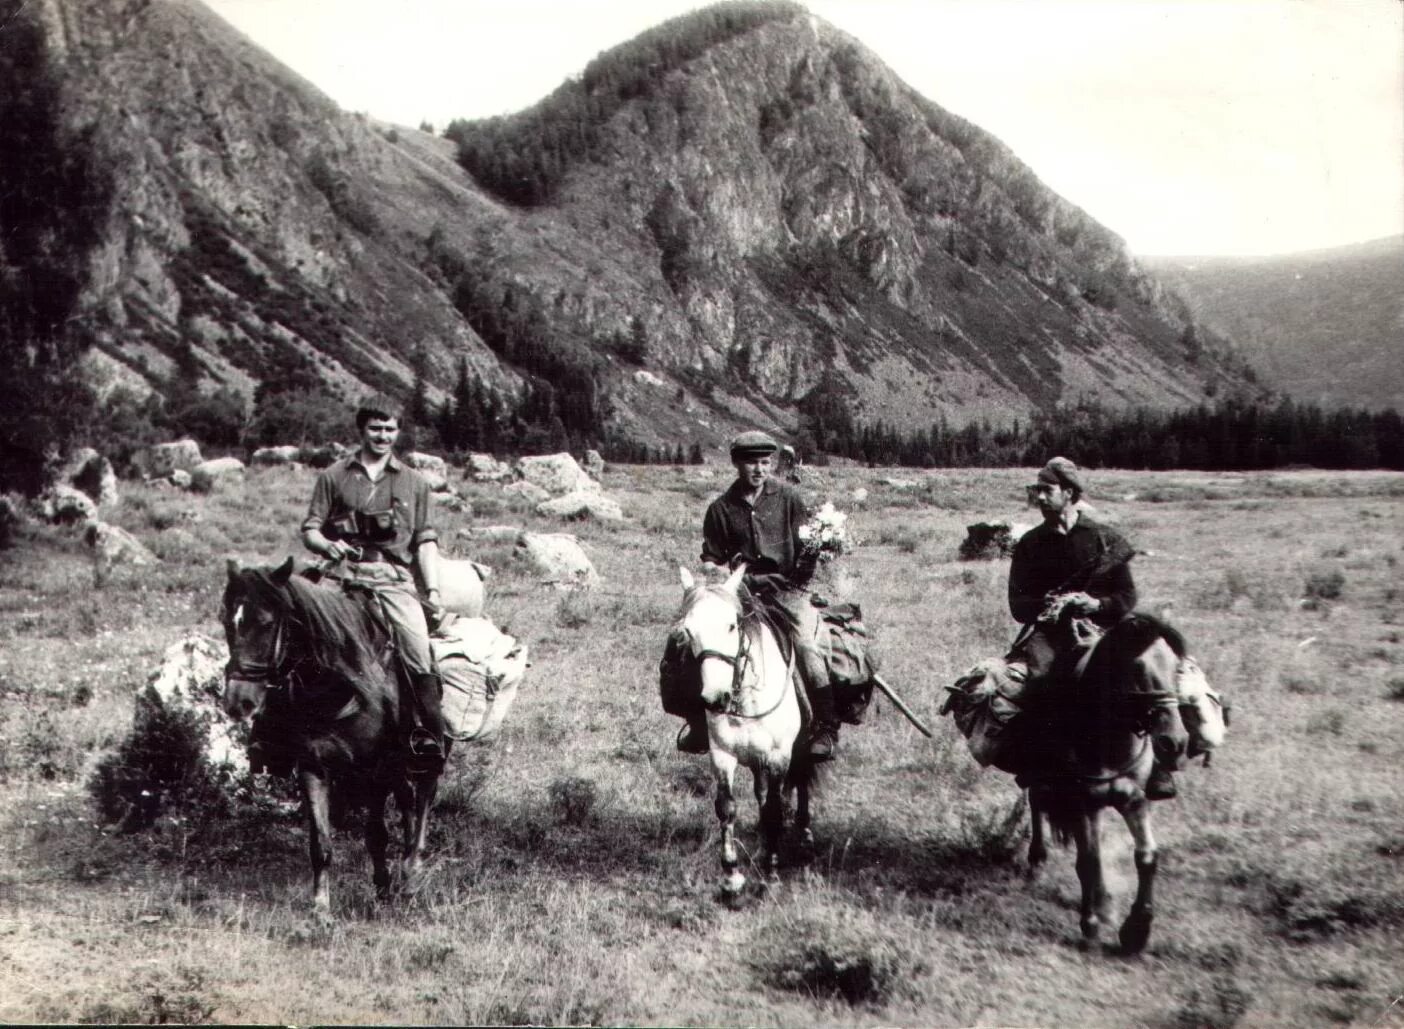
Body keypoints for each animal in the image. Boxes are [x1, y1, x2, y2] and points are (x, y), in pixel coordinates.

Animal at [221, 558, 446, 909]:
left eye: (266, 623)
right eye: (226, 622)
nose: (237, 702)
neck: (337, 685)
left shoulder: (375, 769)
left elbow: (376, 834)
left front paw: (383, 888)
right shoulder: (313, 766)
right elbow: (320, 844)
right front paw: (321, 906)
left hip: (423, 751)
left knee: (423, 795)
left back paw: (412, 870)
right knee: (408, 800)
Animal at [671, 567, 819, 892]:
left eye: (731, 625)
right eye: (688, 630)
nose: (715, 698)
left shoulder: (779, 756)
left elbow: (775, 810)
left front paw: (771, 871)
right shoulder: (722, 755)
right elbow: (727, 807)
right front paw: (731, 875)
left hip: (799, 748)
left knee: (801, 781)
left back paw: (804, 836)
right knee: (762, 795)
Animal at [1016, 609, 1190, 954]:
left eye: (1176, 667)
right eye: (1137, 668)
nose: (1175, 742)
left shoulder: (1134, 799)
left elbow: (1147, 857)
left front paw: (1137, 929)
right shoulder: (1083, 801)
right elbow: (1088, 860)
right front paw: (1091, 923)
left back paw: (1105, 902)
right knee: (1038, 800)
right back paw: (1039, 861)